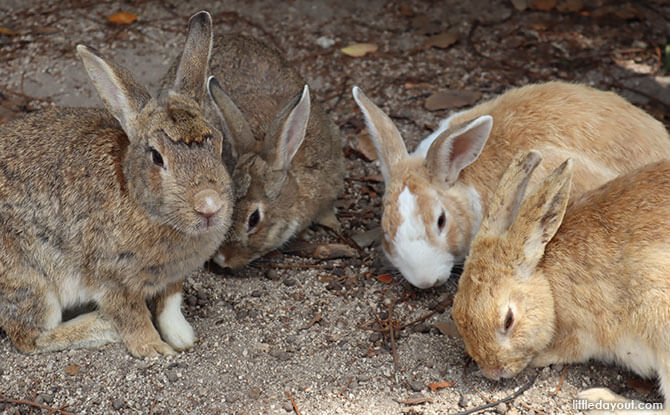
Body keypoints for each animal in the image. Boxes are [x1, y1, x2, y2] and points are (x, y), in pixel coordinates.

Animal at [0, 11, 234, 360]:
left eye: (218, 145)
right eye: (157, 157)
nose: (209, 205)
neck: (136, 196)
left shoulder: (172, 277)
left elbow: (170, 302)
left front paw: (181, 337)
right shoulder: (112, 279)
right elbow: (132, 315)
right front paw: (155, 349)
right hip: (29, 280)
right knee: (29, 337)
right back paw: (100, 326)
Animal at [454, 151, 670, 414]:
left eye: (508, 320)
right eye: (456, 316)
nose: (492, 371)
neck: (548, 286)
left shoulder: (582, 333)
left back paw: (596, 398)